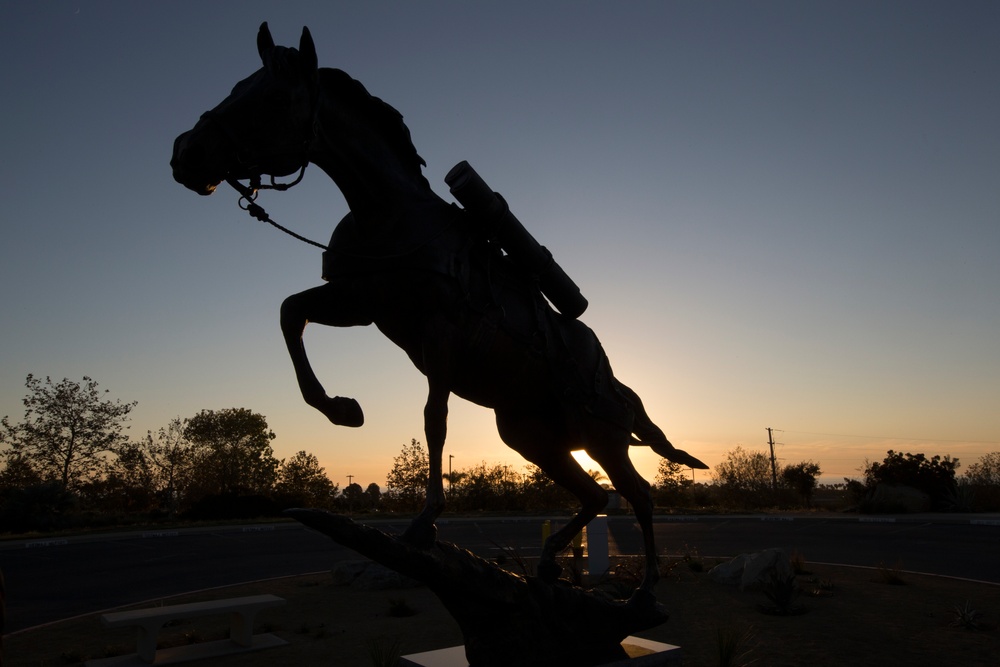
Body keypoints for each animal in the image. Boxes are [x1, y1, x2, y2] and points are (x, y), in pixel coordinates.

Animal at [172, 22, 708, 596]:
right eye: (237, 86)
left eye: (272, 96)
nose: (185, 153)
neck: (389, 218)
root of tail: (615, 381)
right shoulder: (361, 303)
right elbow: (290, 313)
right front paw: (342, 408)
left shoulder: (440, 333)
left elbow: (435, 419)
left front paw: (425, 521)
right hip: (530, 436)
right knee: (596, 494)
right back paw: (547, 562)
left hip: (600, 437)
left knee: (638, 493)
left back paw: (647, 584)